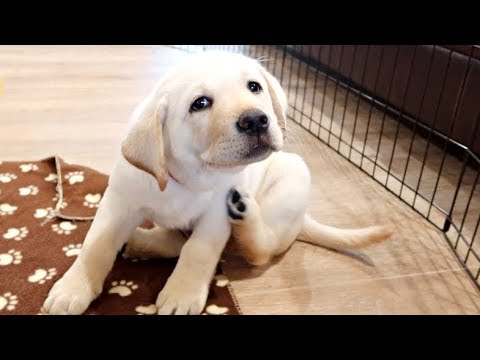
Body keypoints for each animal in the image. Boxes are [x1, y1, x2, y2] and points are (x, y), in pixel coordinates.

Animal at [43, 50, 392, 316]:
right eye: (200, 103)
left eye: (254, 86)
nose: (256, 120)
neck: (189, 177)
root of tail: (303, 219)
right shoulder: (119, 201)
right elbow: (96, 245)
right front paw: (72, 288)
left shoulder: (214, 218)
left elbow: (198, 250)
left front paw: (182, 295)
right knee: (175, 240)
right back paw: (142, 241)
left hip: (293, 175)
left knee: (261, 250)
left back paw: (245, 215)